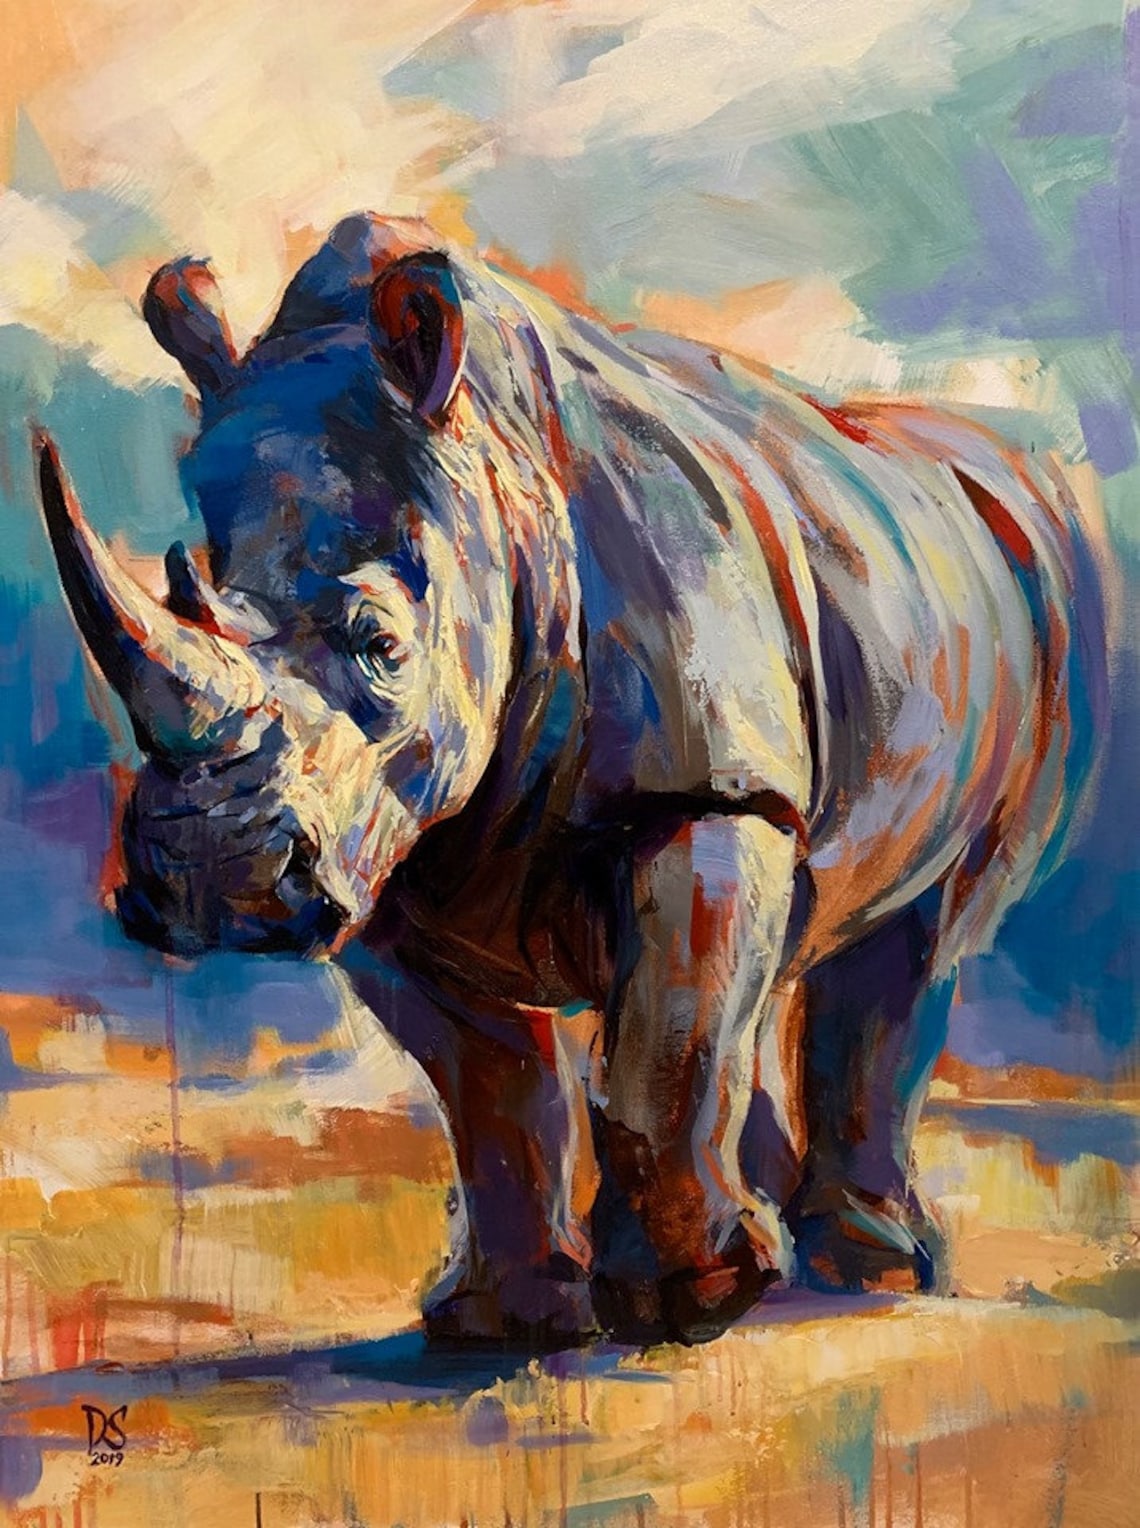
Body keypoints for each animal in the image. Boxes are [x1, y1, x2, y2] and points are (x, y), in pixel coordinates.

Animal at [38, 213, 1107, 1349]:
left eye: (380, 645)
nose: (210, 886)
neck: (494, 490)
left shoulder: (704, 790)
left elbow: (666, 1044)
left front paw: (689, 1305)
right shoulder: (386, 850)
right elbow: (492, 1090)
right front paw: (499, 1325)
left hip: (1050, 614)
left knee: (922, 937)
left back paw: (867, 1270)